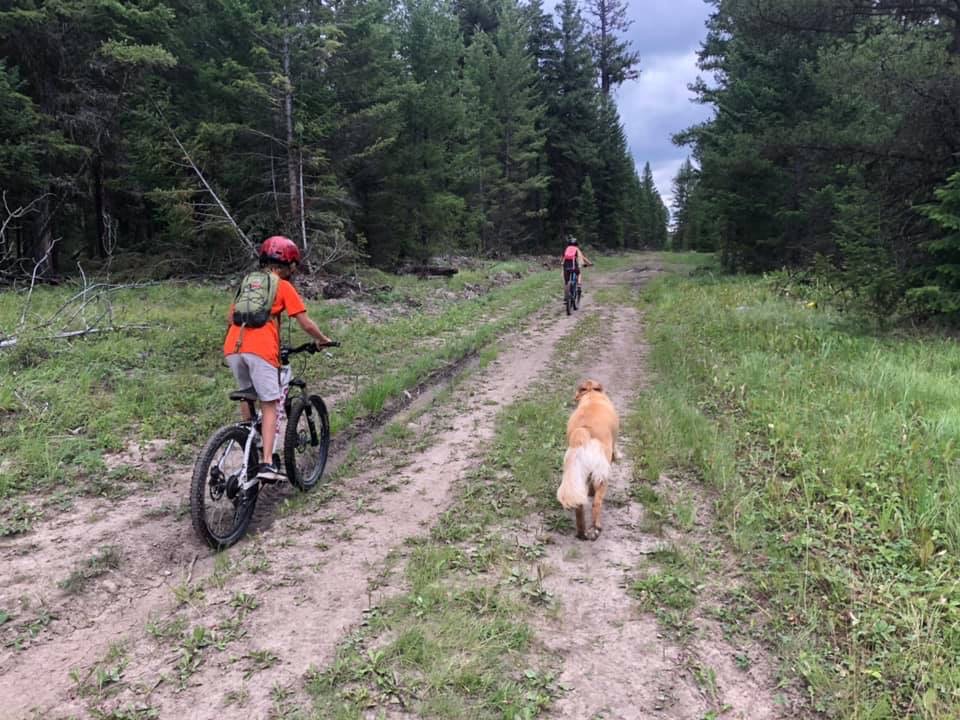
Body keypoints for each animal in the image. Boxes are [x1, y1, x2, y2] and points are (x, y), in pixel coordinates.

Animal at [556, 380, 624, 536]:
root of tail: (584, 433)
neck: (592, 394)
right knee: (597, 502)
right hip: (602, 474)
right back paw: (596, 527)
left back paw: (581, 533)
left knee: (580, 507)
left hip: (577, 475)